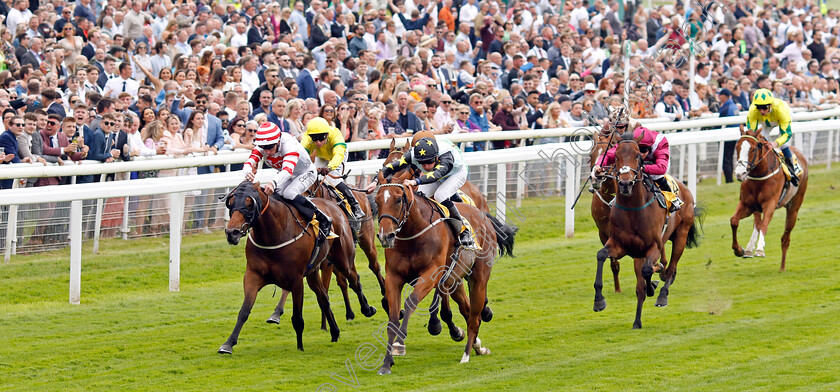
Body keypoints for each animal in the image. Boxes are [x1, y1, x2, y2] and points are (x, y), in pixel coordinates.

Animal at [218, 182, 376, 354]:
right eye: (231, 202)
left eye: (249, 204)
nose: (231, 232)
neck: (274, 234)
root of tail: (335, 206)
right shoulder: (253, 276)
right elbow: (244, 311)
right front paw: (228, 343)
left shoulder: (296, 280)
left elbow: (297, 317)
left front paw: (300, 346)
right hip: (313, 272)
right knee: (324, 298)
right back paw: (335, 332)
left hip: (344, 259)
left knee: (355, 280)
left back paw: (367, 309)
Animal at [374, 171, 520, 374]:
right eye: (376, 200)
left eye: (398, 199)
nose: (385, 236)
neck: (414, 233)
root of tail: (483, 216)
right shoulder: (394, 278)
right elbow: (393, 319)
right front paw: (386, 363)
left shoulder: (430, 274)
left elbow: (411, 302)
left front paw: (399, 344)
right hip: (454, 279)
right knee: (467, 310)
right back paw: (477, 346)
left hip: (478, 277)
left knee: (474, 316)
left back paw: (467, 353)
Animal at [592, 134, 704, 328]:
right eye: (616, 156)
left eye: (637, 155)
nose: (626, 183)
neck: (633, 210)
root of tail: (685, 187)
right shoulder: (618, 244)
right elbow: (601, 255)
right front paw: (599, 301)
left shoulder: (653, 246)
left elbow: (646, 272)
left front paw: (653, 285)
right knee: (649, 278)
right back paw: (637, 321)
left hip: (681, 235)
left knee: (671, 268)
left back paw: (662, 295)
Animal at [728, 124, 808, 272]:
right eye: (737, 147)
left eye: (753, 149)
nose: (740, 173)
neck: (760, 175)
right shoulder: (747, 204)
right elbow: (734, 221)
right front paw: (739, 250)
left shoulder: (770, 204)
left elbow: (764, 225)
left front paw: (760, 249)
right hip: (756, 208)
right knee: (757, 223)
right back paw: (749, 249)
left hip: (794, 207)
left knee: (785, 238)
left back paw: (782, 267)